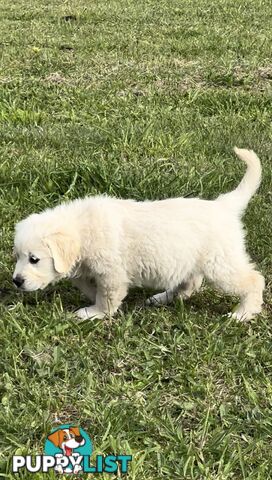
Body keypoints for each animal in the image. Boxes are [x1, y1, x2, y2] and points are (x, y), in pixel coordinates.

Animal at [12, 148, 264, 322]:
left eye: (34, 259)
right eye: (18, 257)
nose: (16, 281)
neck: (82, 228)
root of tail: (223, 205)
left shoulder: (111, 272)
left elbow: (107, 295)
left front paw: (95, 312)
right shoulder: (85, 268)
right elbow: (87, 285)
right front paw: (93, 301)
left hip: (221, 263)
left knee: (254, 280)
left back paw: (242, 314)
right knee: (189, 284)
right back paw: (162, 298)